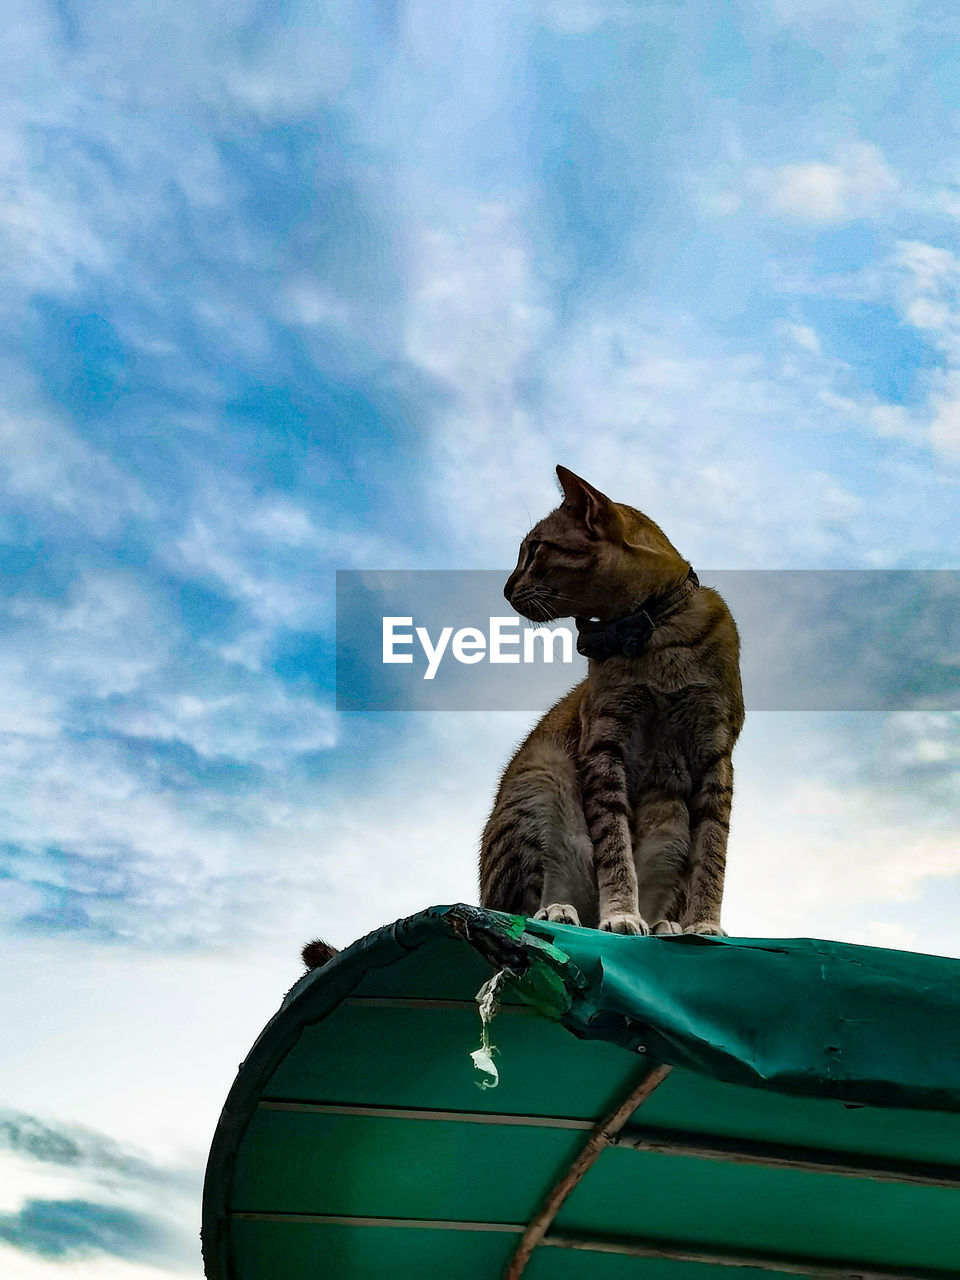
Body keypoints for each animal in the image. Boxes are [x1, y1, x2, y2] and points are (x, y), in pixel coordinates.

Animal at [478, 465, 742, 936]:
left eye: (534, 550)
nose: (506, 588)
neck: (656, 638)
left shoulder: (716, 755)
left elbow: (712, 855)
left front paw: (703, 924)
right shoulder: (604, 747)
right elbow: (615, 849)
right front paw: (621, 913)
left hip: (670, 815)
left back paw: (663, 925)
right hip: (541, 783)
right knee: (525, 905)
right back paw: (560, 911)